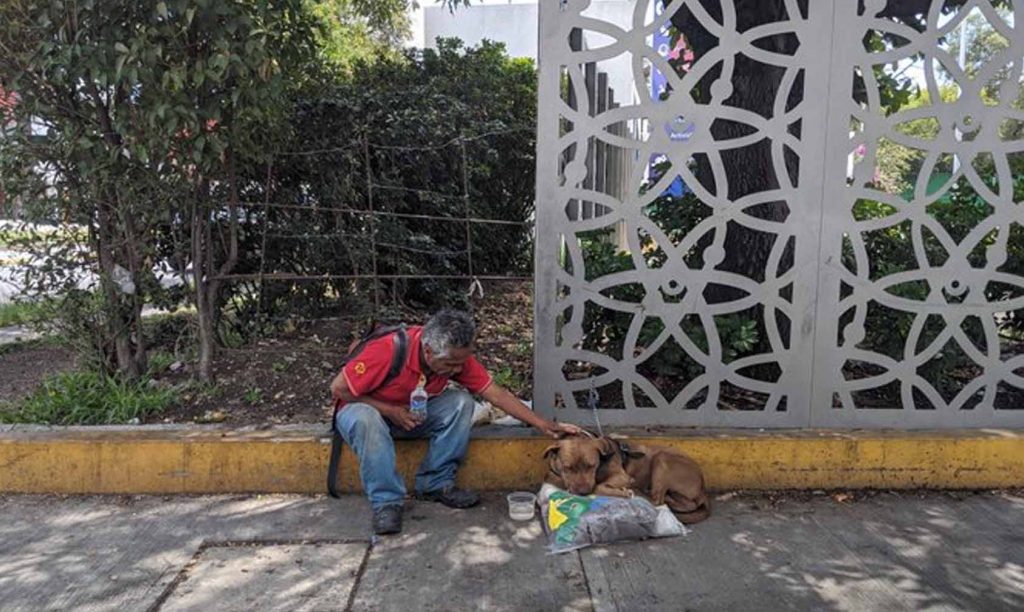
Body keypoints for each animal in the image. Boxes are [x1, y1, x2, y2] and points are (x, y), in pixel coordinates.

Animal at [544, 433, 712, 523]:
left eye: (591, 466)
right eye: (568, 468)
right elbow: (551, 476)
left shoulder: (622, 476)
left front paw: (622, 492)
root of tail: (703, 486)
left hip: (662, 458)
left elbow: (598, 486)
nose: (584, 492)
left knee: (657, 500)